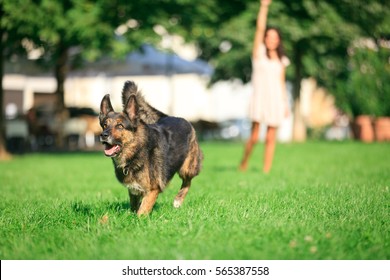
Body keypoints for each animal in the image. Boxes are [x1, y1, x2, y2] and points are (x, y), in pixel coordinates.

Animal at [99, 81, 203, 217]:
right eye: (104, 125)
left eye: (120, 126)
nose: (103, 135)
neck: (137, 150)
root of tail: (173, 116)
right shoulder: (134, 190)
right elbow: (134, 207)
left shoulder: (153, 190)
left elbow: (141, 212)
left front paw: (138, 220)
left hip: (187, 168)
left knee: (187, 182)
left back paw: (178, 201)